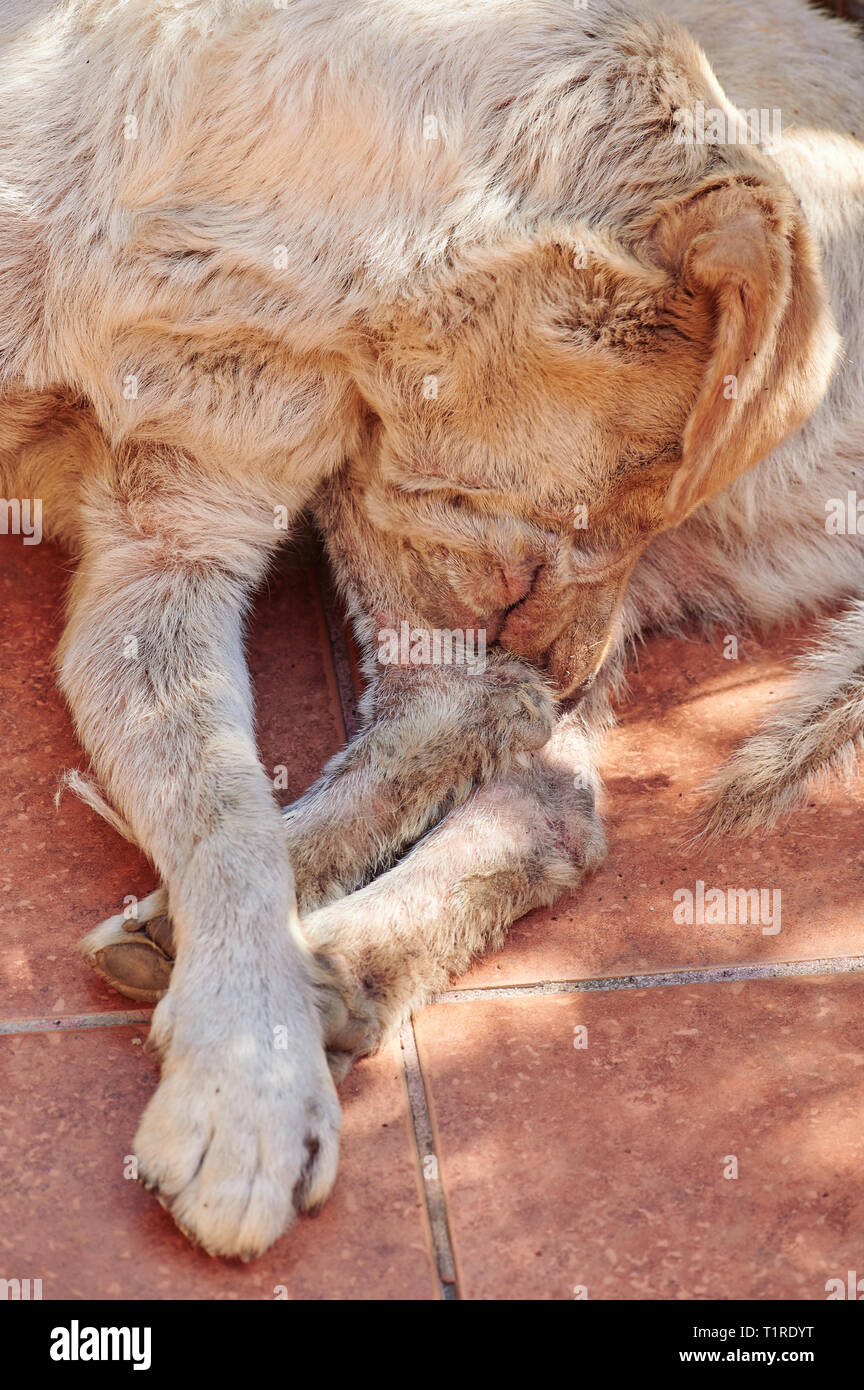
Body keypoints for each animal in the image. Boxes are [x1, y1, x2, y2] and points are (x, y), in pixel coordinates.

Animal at [0, 0, 861, 1262]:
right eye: (643, 481)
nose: (565, 670)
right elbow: (223, 806)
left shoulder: (181, 535)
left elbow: (232, 820)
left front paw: (247, 1086)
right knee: (531, 778)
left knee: (483, 737)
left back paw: (315, 959)